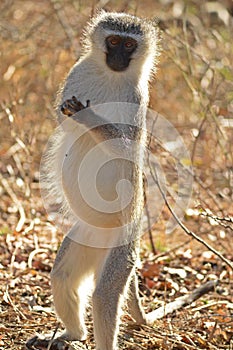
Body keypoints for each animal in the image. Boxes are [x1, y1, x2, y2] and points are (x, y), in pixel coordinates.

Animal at [26, 9, 160, 350]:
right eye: (112, 41)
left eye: (129, 45)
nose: (118, 58)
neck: (112, 77)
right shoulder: (77, 72)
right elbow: (61, 120)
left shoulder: (137, 99)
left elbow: (127, 148)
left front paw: (88, 118)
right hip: (85, 237)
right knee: (61, 276)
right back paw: (72, 334)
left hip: (121, 248)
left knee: (103, 297)